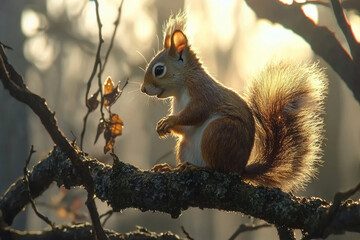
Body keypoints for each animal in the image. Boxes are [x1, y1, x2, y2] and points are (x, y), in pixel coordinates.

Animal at [140, 11, 326, 193]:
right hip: (185, 146)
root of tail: (240, 169)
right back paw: (173, 168)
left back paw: (196, 168)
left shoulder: (203, 92)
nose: (143, 89)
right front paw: (163, 126)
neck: (181, 88)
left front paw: (169, 121)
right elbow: (183, 129)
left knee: (218, 169)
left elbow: (195, 112)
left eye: (159, 70)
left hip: (218, 131)